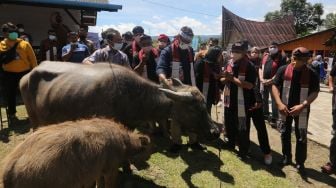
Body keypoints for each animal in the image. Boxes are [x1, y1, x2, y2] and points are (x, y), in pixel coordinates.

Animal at [0, 118, 150, 187]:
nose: (146, 164)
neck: (125, 143)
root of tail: (9, 169)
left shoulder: (98, 170)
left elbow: (99, 183)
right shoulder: (111, 169)